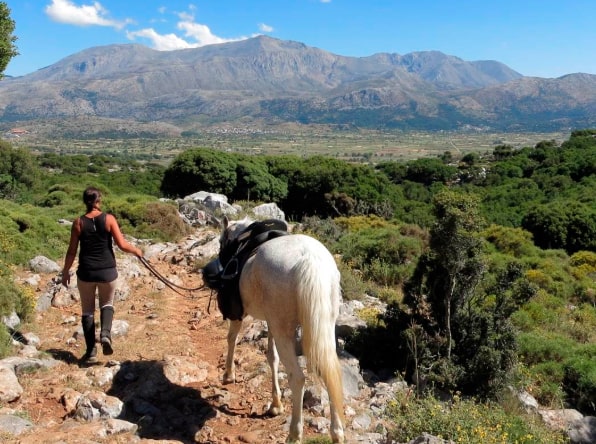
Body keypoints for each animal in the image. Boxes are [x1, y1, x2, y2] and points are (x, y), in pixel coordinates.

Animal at [219, 217, 344, 442]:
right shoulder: (271, 323)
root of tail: (310, 260)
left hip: (284, 331)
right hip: (323, 328)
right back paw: (337, 434)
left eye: (220, 242)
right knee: (331, 375)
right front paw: (276, 405)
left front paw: (228, 374)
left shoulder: (240, 314)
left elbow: (232, 338)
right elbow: (272, 357)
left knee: (298, 378)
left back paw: (294, 433)